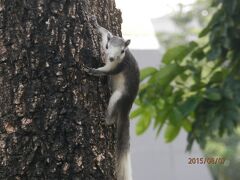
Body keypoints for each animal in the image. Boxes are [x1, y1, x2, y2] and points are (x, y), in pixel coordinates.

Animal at [83, 16, 140, 180]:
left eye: (122, 50)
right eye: (108, 46)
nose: (112, 57)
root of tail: (127, 107)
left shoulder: (117, 67)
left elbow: (106, 71)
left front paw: (93, 70)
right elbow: (104, 32)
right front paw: (96, 24)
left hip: (119, 97)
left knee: (112, 112)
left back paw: (106, 119)